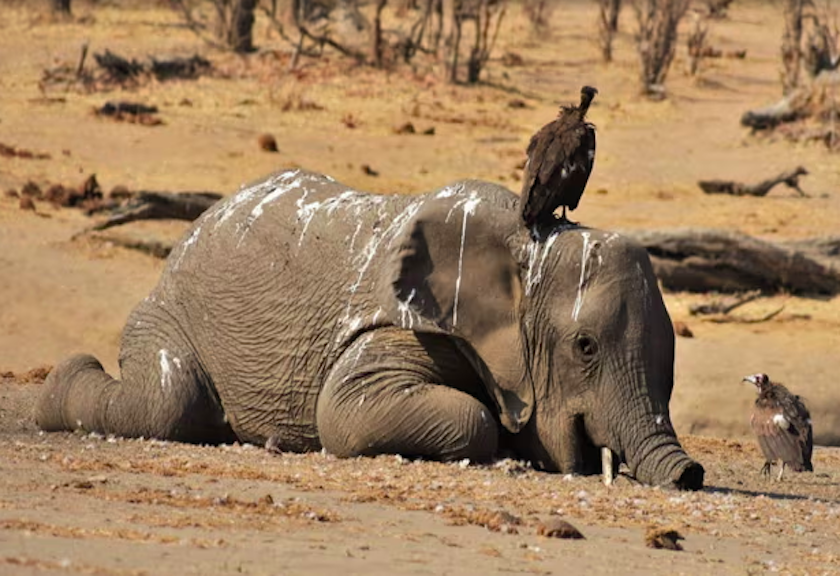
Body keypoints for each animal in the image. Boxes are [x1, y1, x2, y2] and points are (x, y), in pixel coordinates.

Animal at [36, 169, 704, 488]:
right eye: (584, 347)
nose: (692, 475)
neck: (526, 242)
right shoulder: (404, 320)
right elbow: (352, 410)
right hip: (168, 312)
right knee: (168, 401)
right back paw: (56, 393)